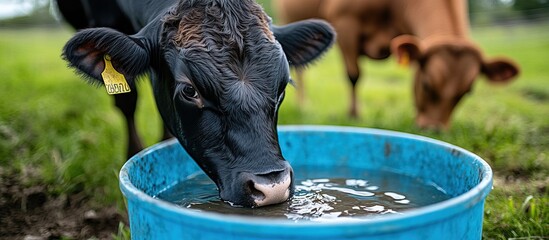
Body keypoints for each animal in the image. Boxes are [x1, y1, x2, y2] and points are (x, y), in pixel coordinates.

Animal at [274, 0, 520, 129]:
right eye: (428, 85)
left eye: (467, 92)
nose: (433, 129)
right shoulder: (345, 22)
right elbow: (354, 75)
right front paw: (354, 115)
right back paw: (303, 104)